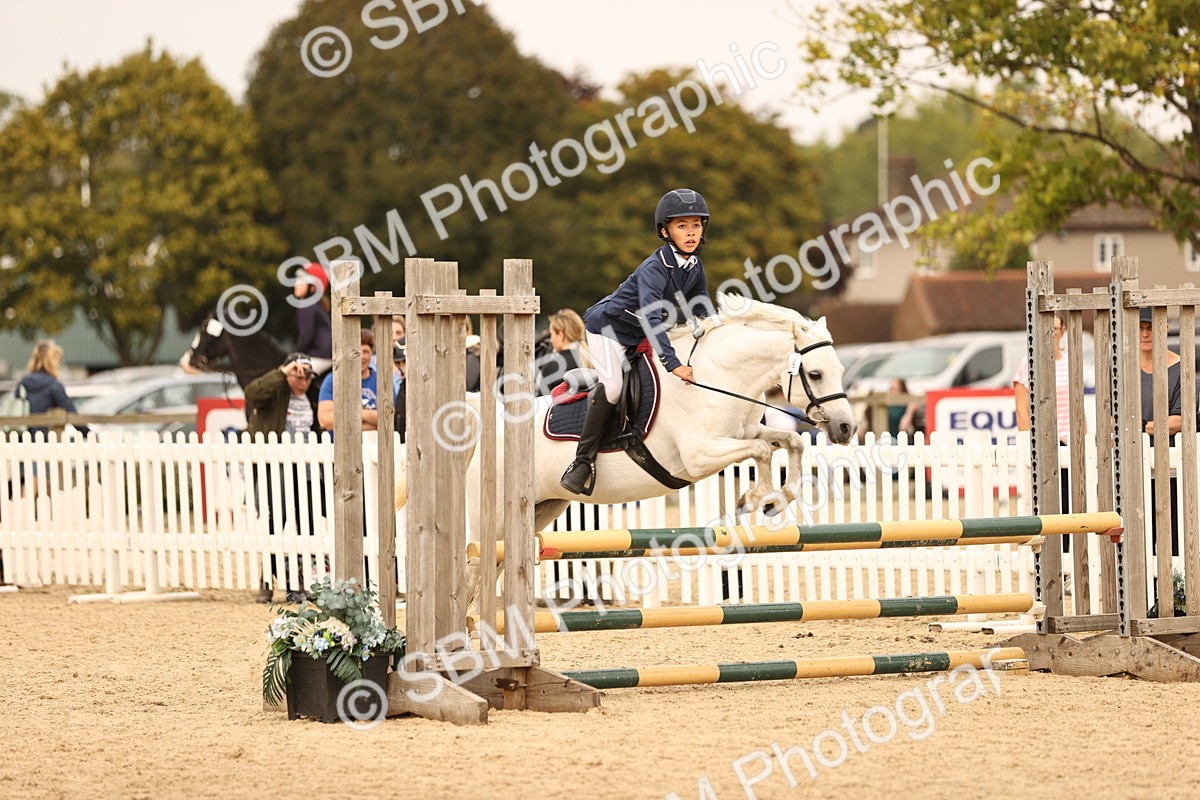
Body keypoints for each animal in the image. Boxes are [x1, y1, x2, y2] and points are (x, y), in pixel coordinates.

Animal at [460, 294, 857, 604]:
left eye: (840, 369)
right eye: (816, 374)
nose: (846, 428)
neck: (718, 376)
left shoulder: (742, 431)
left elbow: (790, 442)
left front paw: (777, 500)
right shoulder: (700, 455)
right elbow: (761, 450)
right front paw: (755, 498)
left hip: (541, 508)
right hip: (490, 521)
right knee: (472, 571)